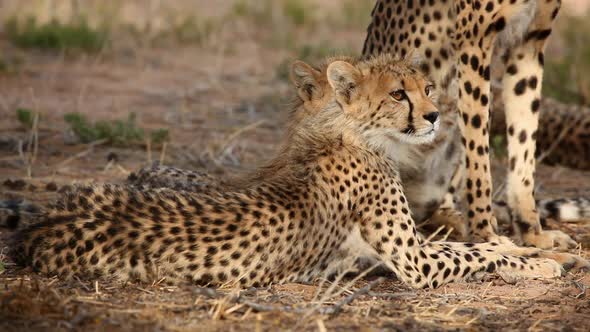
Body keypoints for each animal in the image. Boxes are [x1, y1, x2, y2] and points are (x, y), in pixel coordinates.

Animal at [11, 54, 580, 288]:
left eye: (426, 89)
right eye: (399, 94)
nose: (436, 115)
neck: (346, 130)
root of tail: (40, 225)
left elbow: (470, 245)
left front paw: (530, 252)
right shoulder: (414, 262)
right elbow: (475, 251)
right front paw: (537, 260)